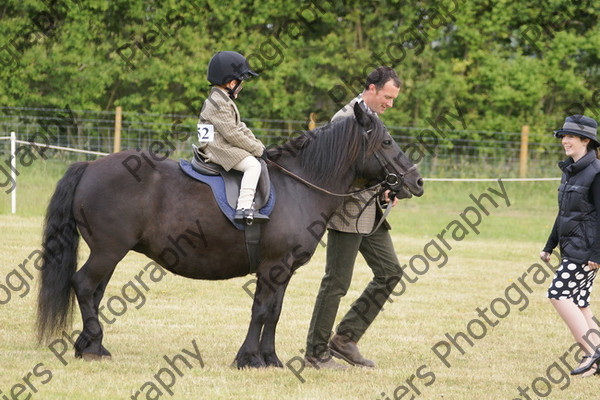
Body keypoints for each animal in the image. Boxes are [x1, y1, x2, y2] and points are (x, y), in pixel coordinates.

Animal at [36, 104, 422, 368]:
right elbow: (261, 310)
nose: (416, 181)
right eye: (388, 141)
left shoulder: (283, 271)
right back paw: (95, 346)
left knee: (93, 291)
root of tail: (89, 165)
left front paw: (270, 358)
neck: (299, 186)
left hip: (109, 254)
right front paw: (249, 357)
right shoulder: (273, 267)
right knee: (84, 285)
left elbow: (274, 312)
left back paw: (88, 345)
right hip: (108, 251)